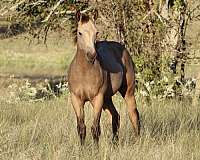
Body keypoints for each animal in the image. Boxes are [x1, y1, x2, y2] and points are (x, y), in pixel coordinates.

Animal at [68, 10, 140, 145]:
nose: (92, 55)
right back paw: (115, 144)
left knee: (134, 115)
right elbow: (81, 128)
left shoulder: (97, 98)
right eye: (80, 33)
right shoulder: (76, 99)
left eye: (96, 32)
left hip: (127, 92)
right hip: (107, 98)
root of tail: (122, 48)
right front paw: (82, 148)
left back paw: (138, 140)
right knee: (116, 116)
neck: (84, 73)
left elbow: (95, 128)